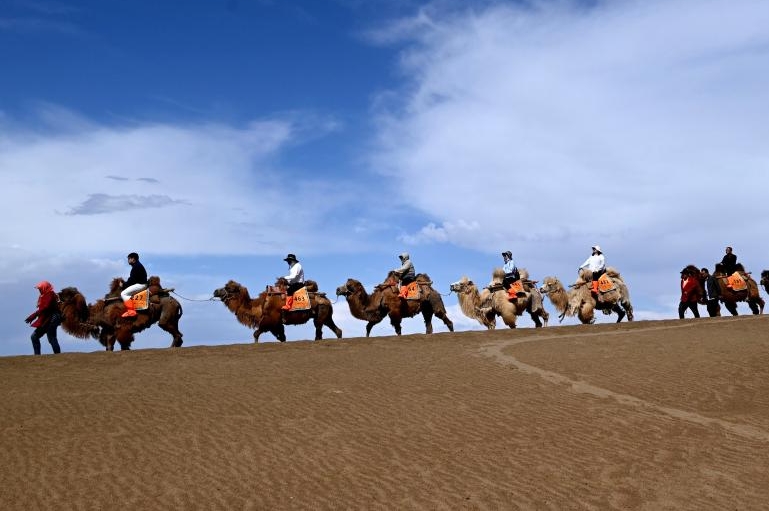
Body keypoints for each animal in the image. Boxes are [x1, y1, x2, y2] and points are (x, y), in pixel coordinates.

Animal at [213, 279, 342, 342]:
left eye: (229, 288)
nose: (215, 291)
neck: (260, 305)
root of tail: (326, 299)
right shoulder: (277, 324)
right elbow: (282, 337)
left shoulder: (269, 321)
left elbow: (256, 334)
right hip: (326, 316)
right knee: (337, 330)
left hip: (320, 314)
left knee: (319, 331)